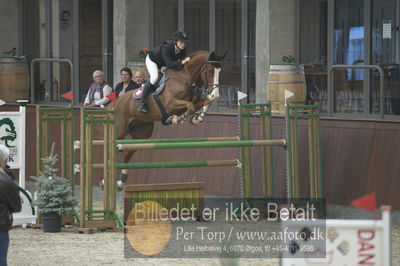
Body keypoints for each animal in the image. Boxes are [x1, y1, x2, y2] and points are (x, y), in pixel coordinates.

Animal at [113, 50, 225, 185]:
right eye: (210, 71)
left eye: (220, 71)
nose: (216, 95)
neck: (186, 78)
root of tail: (118, 101)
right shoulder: (171, 104)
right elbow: (190, 106)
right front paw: (175, 119)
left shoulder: (196, 100)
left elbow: (204, 102)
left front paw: (197, 118)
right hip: (120, 129)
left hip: (142, 133)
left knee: (128, 151)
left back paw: (121, 180)